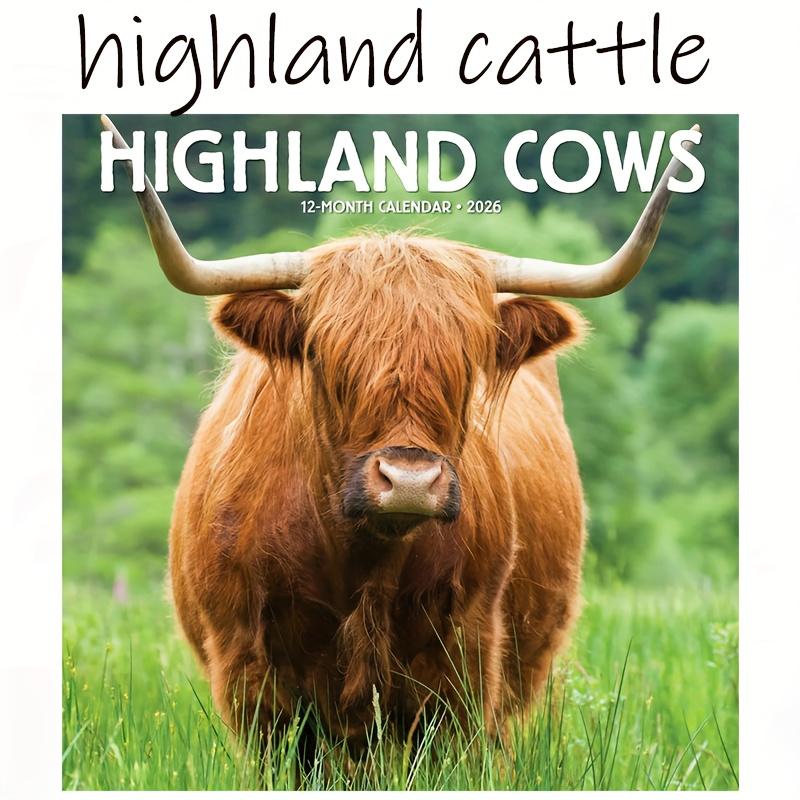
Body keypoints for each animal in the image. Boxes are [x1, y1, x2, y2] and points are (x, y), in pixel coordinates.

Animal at [100, 116, 698, 752]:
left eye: (468, 361)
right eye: (324, 356)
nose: (409, 481)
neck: (363, 561)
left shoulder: (465, 662)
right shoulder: (250, 670)